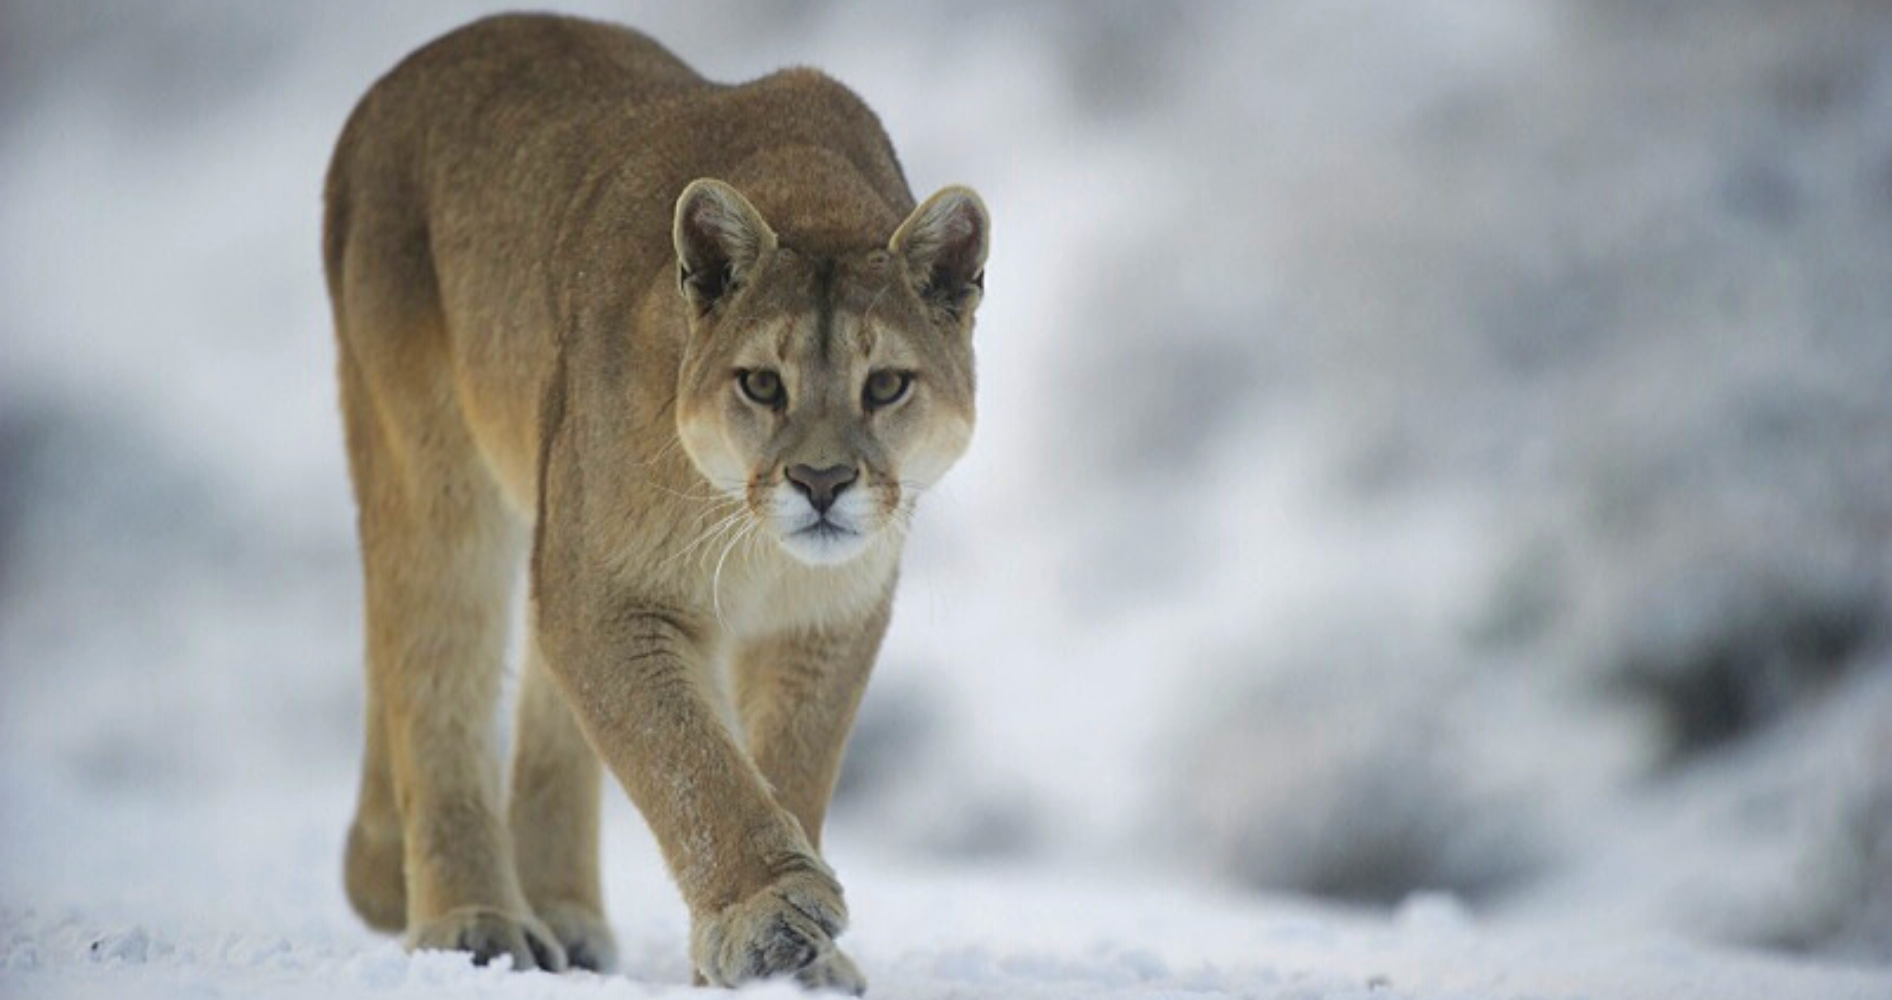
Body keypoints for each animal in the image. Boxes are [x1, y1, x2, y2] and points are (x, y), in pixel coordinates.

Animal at [321, 14, 988, 993]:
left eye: (887, 385)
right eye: (761, 383)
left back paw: (565, 915)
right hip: (438, 470)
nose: (823, 482)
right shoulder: (606, 590)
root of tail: (394, 83)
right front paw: (768, 916)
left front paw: (791, 956)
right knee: (435, 667)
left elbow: (786, 763)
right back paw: (476, 923)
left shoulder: (827, 613)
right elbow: (685, 754)